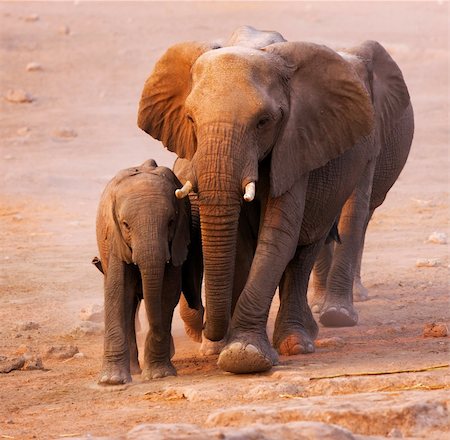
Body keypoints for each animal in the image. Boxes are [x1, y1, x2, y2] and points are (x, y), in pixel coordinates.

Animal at [94, 159, 192, 384]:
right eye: (125, 225)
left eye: (171, 222)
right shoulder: (115, 240)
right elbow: (117, 290)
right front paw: (111, 381)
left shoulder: (177, 240)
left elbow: (168, 292)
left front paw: (158, 374)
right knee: (128, 300)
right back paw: (133, 369)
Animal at [137, 28, 408, 372]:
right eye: (190, 119)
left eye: (263, 122)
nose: (210, 332)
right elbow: (241, 245)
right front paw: (223, 350)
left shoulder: (297, 144)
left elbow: (279, 235)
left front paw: (244, 356)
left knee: (305, 249)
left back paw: (300, 341)